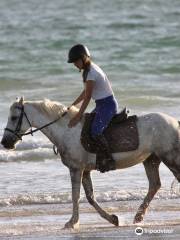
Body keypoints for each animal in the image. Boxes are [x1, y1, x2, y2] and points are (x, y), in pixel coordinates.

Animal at [1, 97, 180, 229]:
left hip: (169, 157)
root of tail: (174, 122)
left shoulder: (76, 168)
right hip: (151, 160)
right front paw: (113, 219)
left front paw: (72, 223)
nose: (5, 142)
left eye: (14, 118)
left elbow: (76, 195)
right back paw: (138, 216)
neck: (67, 130)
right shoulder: (85, 171)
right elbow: (90, 197)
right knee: (154, 185)